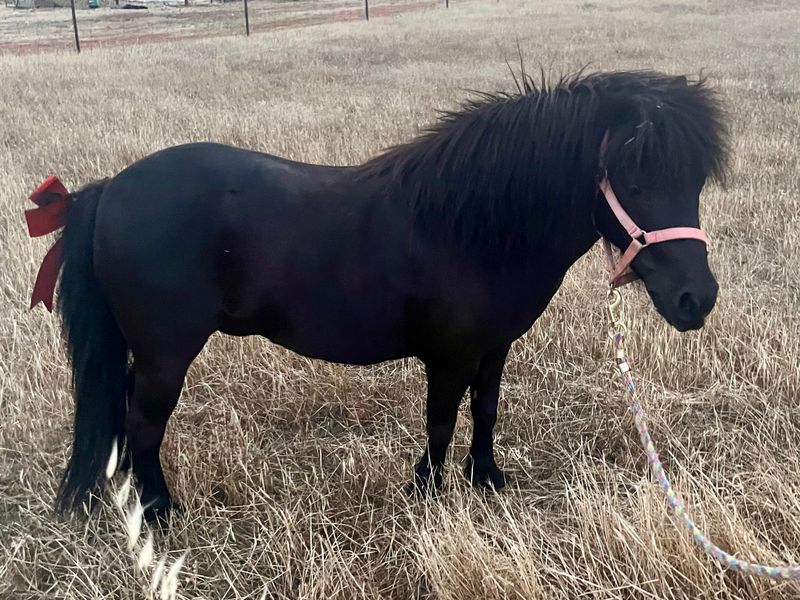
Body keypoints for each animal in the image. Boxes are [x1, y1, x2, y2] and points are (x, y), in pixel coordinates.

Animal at [26, 70, 729, 522]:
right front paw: (429, 495)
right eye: (633, 181)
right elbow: (441, 421)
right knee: (144, 424)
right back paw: (159, 514)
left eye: (694, 181)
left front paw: (486, 479)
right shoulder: (449, 355)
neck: (471, 225)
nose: (696, 299)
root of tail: (108, 190)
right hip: (166, 356)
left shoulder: (493, 348)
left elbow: (485, 411)